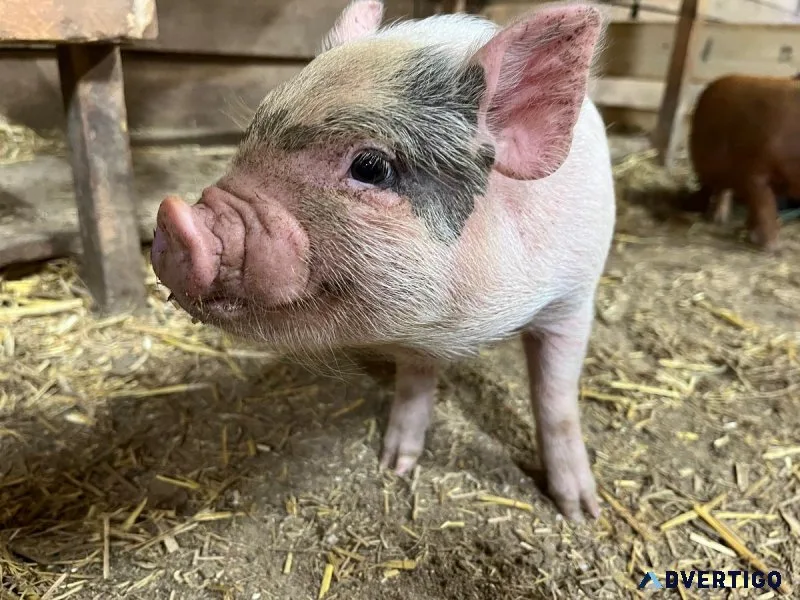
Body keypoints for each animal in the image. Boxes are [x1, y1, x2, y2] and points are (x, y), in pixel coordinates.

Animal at [150, 0, 615, 521]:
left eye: (371, 167)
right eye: (250, 134)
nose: (172, 218)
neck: (466, 326)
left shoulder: (574, 299)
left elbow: (556, 400)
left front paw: (581, 511)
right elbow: (414, 383)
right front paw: (395, 464)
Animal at [689, 74, 800, 251]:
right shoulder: (755, 173)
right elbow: (765, 207)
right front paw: (771, 247)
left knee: (723, 190)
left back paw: (720, 219)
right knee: (713, 188)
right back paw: (712, 218)